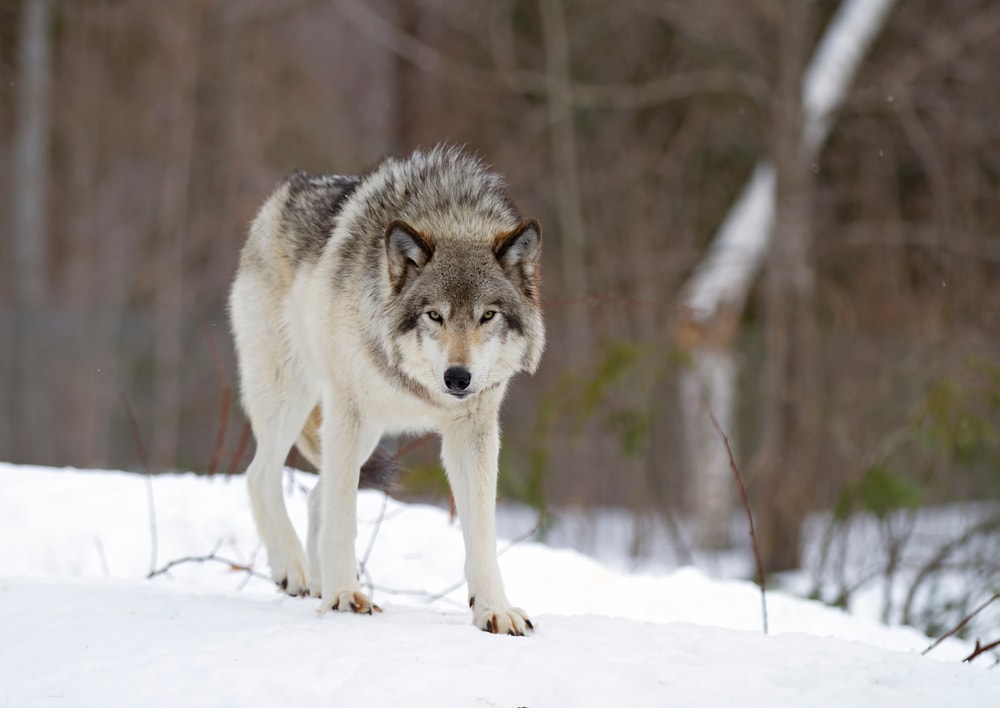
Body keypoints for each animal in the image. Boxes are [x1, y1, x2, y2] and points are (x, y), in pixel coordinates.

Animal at [229, 145, 544, 635]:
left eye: (487, 315)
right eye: (434, 315)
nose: (458, 378)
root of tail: (285, 191)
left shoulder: (473, 431)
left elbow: (482, 532)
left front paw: (494, 609)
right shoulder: (348, 410)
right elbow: (343, 516)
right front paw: (345, 596)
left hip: (360, 433)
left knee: (316, 494)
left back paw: (316, 580)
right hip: (295, 401)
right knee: (261, 475)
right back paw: (295, 571)